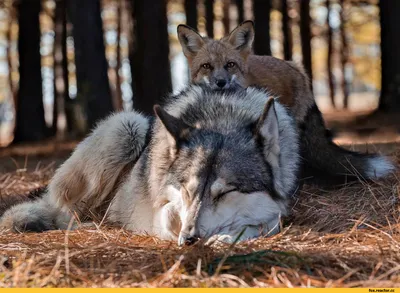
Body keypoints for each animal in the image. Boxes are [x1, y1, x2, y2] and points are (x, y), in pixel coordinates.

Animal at [0, 85, 300, 244]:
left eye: (225, 192)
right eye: (187, 190)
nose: (189, 238)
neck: (223, 116)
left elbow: (270, 220)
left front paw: (228, 236)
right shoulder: (161, 206)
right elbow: (167, 215)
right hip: (127, 125)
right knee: (65, 211)